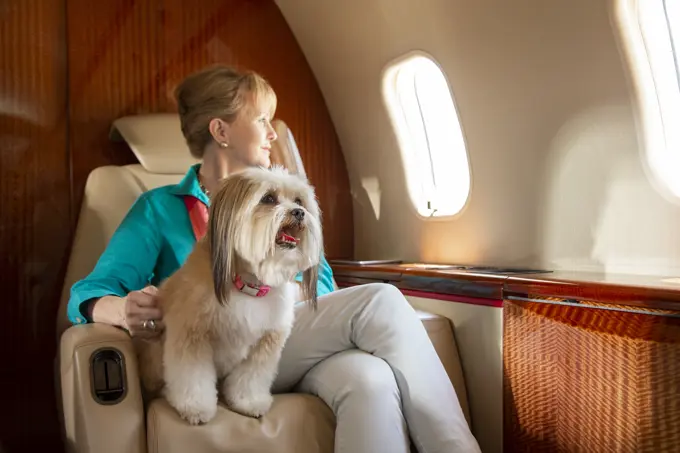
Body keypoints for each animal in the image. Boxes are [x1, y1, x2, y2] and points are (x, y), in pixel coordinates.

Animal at [137, 166, 324, 424]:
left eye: (299, 201)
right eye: (268, 199)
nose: (299, 212)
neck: (248, 286)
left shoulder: (265, 344)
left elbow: (251, 377)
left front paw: (248, 402)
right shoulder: (191, 337)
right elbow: (192, 377)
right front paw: (195, 407)